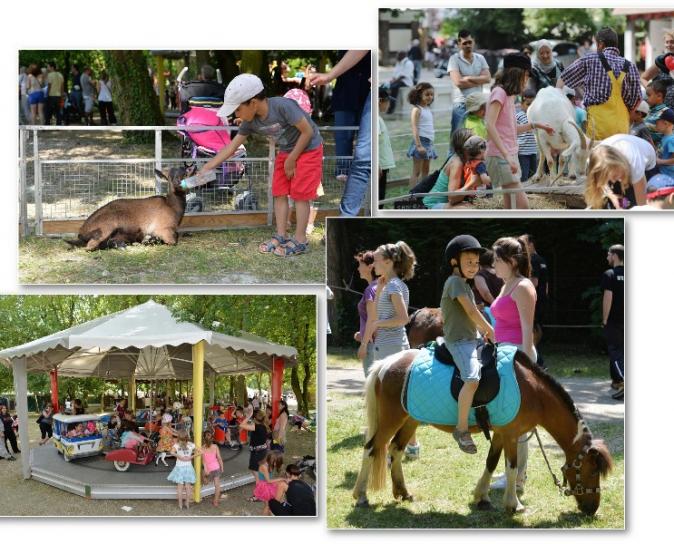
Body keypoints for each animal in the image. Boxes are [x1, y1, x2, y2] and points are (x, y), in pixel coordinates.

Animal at [64, 165, 192, 252]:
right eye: (169, 176)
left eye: (184, 174)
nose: (177, 183)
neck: (172, 206)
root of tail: (81, 233)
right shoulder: (163, 229)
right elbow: (173, 241)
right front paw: (149, 240)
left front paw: (148, 240)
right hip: (105, 228)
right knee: (90, 246)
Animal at [354, 332, 612, 516]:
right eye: (592, 471)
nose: (592, 509)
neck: (532, 390)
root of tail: (385, 364)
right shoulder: (511, 434)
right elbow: (511, 467)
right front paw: (514, 504)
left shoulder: (500, 434)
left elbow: (491, 462)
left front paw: (482, 497)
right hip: (391, 419)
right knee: (371, 448)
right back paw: (361, 495)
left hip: (411, 420)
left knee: (395, 449)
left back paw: (403, 492)